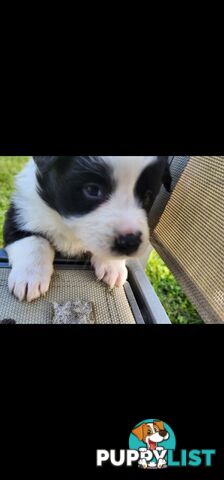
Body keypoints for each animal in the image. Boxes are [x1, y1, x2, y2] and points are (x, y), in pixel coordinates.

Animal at [3, 156, 172, 302]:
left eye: (147, 197)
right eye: (92, 189)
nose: (130, 242)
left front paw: (113, 266)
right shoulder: (19, 214)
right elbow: (34, 242)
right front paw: (30, 276)